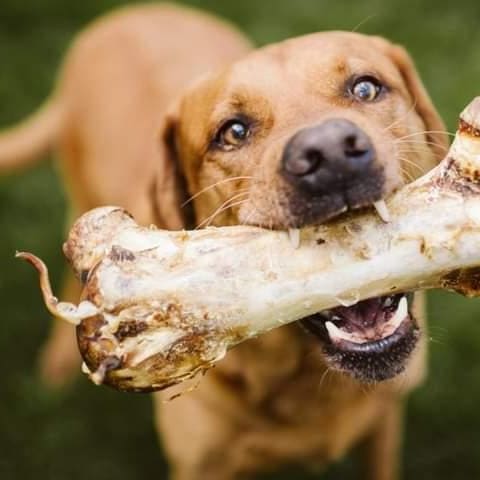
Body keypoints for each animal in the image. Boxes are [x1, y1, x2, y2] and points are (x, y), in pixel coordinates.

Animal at [0, 1, 450, 478]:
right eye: (233, 131)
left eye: (366, 88)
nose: (329, 154)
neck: (306, 383)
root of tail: (126, 15)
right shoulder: (200, 465)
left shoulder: (385, 423)